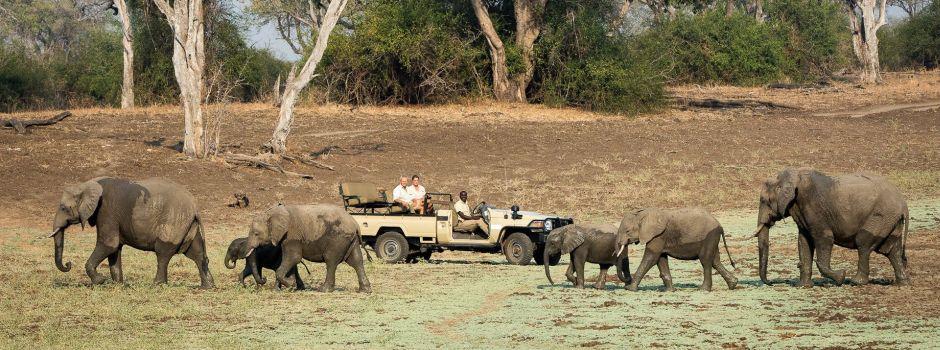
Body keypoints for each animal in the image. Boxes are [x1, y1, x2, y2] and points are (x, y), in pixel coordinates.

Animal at [50, 176, 216, 288]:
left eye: (63, 208)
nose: (68, 263)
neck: (88, 184)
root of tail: (195, 207)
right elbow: (114, 249)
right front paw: (117, 284)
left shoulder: (106, 211)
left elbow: (109, 244)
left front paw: (100, 281)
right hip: (186, 223)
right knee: (196, 253)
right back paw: (207, 287)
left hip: (174, 222)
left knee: (163, 252)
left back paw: (157, 284)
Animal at [244, 204, 372, 294]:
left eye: (256, 234)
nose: (264, 278)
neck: (272, 213)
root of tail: (356, 225)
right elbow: (290, 262)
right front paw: (279, 290)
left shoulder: (292, 236)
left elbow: (294, 258)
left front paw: (291, 284)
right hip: (351, 240)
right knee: (356, 261)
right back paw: (365, 290)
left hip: (338, 239)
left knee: (331, 261)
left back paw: (323, 290)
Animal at [612, 206, 740, 292]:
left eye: (627, 231)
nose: (625, 285)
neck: (644, 214)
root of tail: (720, 225)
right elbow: (661, 259)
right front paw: (669, 291)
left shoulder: (658, 236)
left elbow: (651, 257)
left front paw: (630, 289)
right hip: (712, 238)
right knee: (715, 261)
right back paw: (733, 284)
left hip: (710, 236)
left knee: (706, 260)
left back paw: (703, 289)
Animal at [752, 169, 908, 288]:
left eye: (764, 201)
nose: (771, 283)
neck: (793, 176)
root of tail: (904, 204)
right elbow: (804, 242)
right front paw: (803, 286)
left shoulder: (815, 209)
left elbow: (824, 239)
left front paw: (841, 277)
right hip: (890, 220)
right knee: (892, 250)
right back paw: (901, 283)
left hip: (880, 217)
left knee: (863, 244)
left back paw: (856, 282)